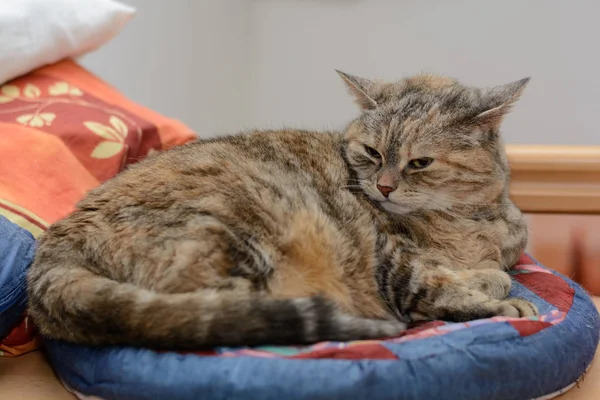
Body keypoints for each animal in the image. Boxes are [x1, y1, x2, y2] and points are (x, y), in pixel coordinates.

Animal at [27, 70, 540, 348]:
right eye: (372, 152)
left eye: (420, 163)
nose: (383, 187)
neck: (468, 220)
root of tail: (55, 244)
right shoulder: (392, 262)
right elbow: (440, 288)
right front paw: (500, 303)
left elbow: (495, 270)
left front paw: (488, 277)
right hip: (239, 238)